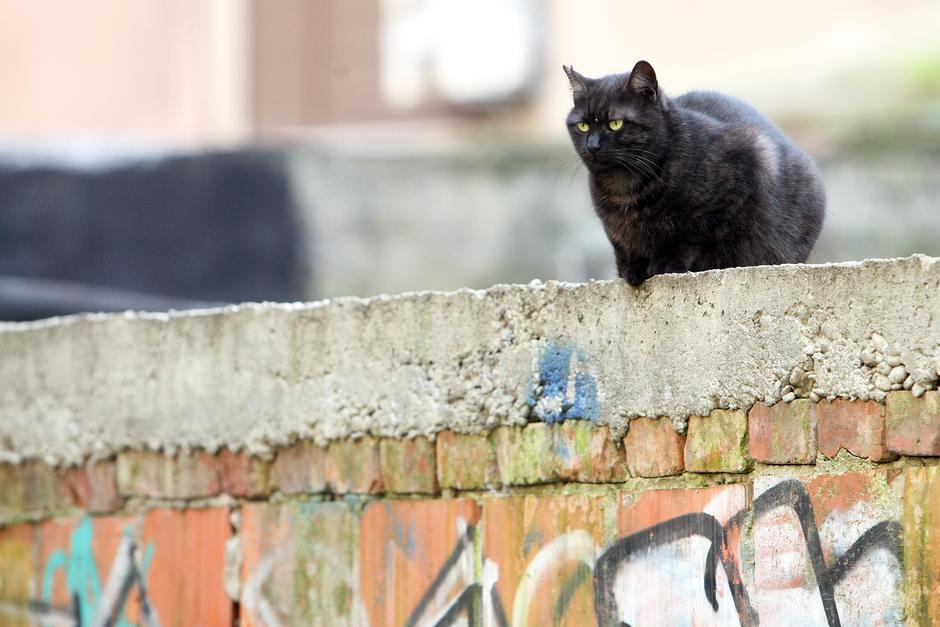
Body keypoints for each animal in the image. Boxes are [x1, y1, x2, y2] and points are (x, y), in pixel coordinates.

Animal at [564, 60, 824, 286]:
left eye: (615, 123)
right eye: (583, 126)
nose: (592, 146)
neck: (624, 189)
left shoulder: (745, 167)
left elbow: (692, 233)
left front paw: (666, 263)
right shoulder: (611, 226)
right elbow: (622, 244)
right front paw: (632, 269)